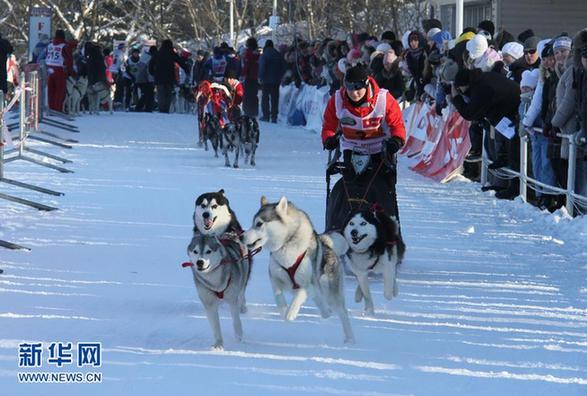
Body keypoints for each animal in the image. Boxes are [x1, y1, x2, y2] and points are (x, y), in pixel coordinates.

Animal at [242, 196, 356, 342]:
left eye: (259, 223)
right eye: (253, 223)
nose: (241, 236)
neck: (286, 245)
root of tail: (327, 244)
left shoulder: (307, 284)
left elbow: (299, 294)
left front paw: (290, 313)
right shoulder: (275, 278)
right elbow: (278, 297)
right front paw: (284, 311)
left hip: (331, 294)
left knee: (342, 313)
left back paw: (350, 339)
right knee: (322, 303)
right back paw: (326, 312)